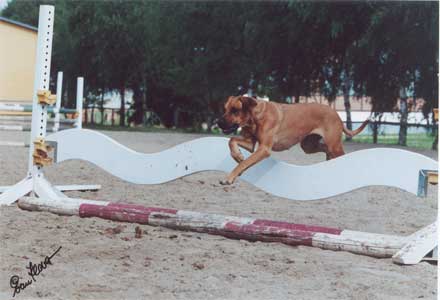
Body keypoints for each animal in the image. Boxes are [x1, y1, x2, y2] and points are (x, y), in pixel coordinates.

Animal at [217, 96, 368, 185]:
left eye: (235, 110)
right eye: (225, 109)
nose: (218, 122)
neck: (256, 116)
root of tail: (336, 113)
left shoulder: (264, 149)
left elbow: (244, 163)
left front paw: (229, 177)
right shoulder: (251, 144)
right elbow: (232, 141)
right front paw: (237, 156)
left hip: (334, 145)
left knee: (340, 154)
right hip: (308, 145)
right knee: (325, 149)